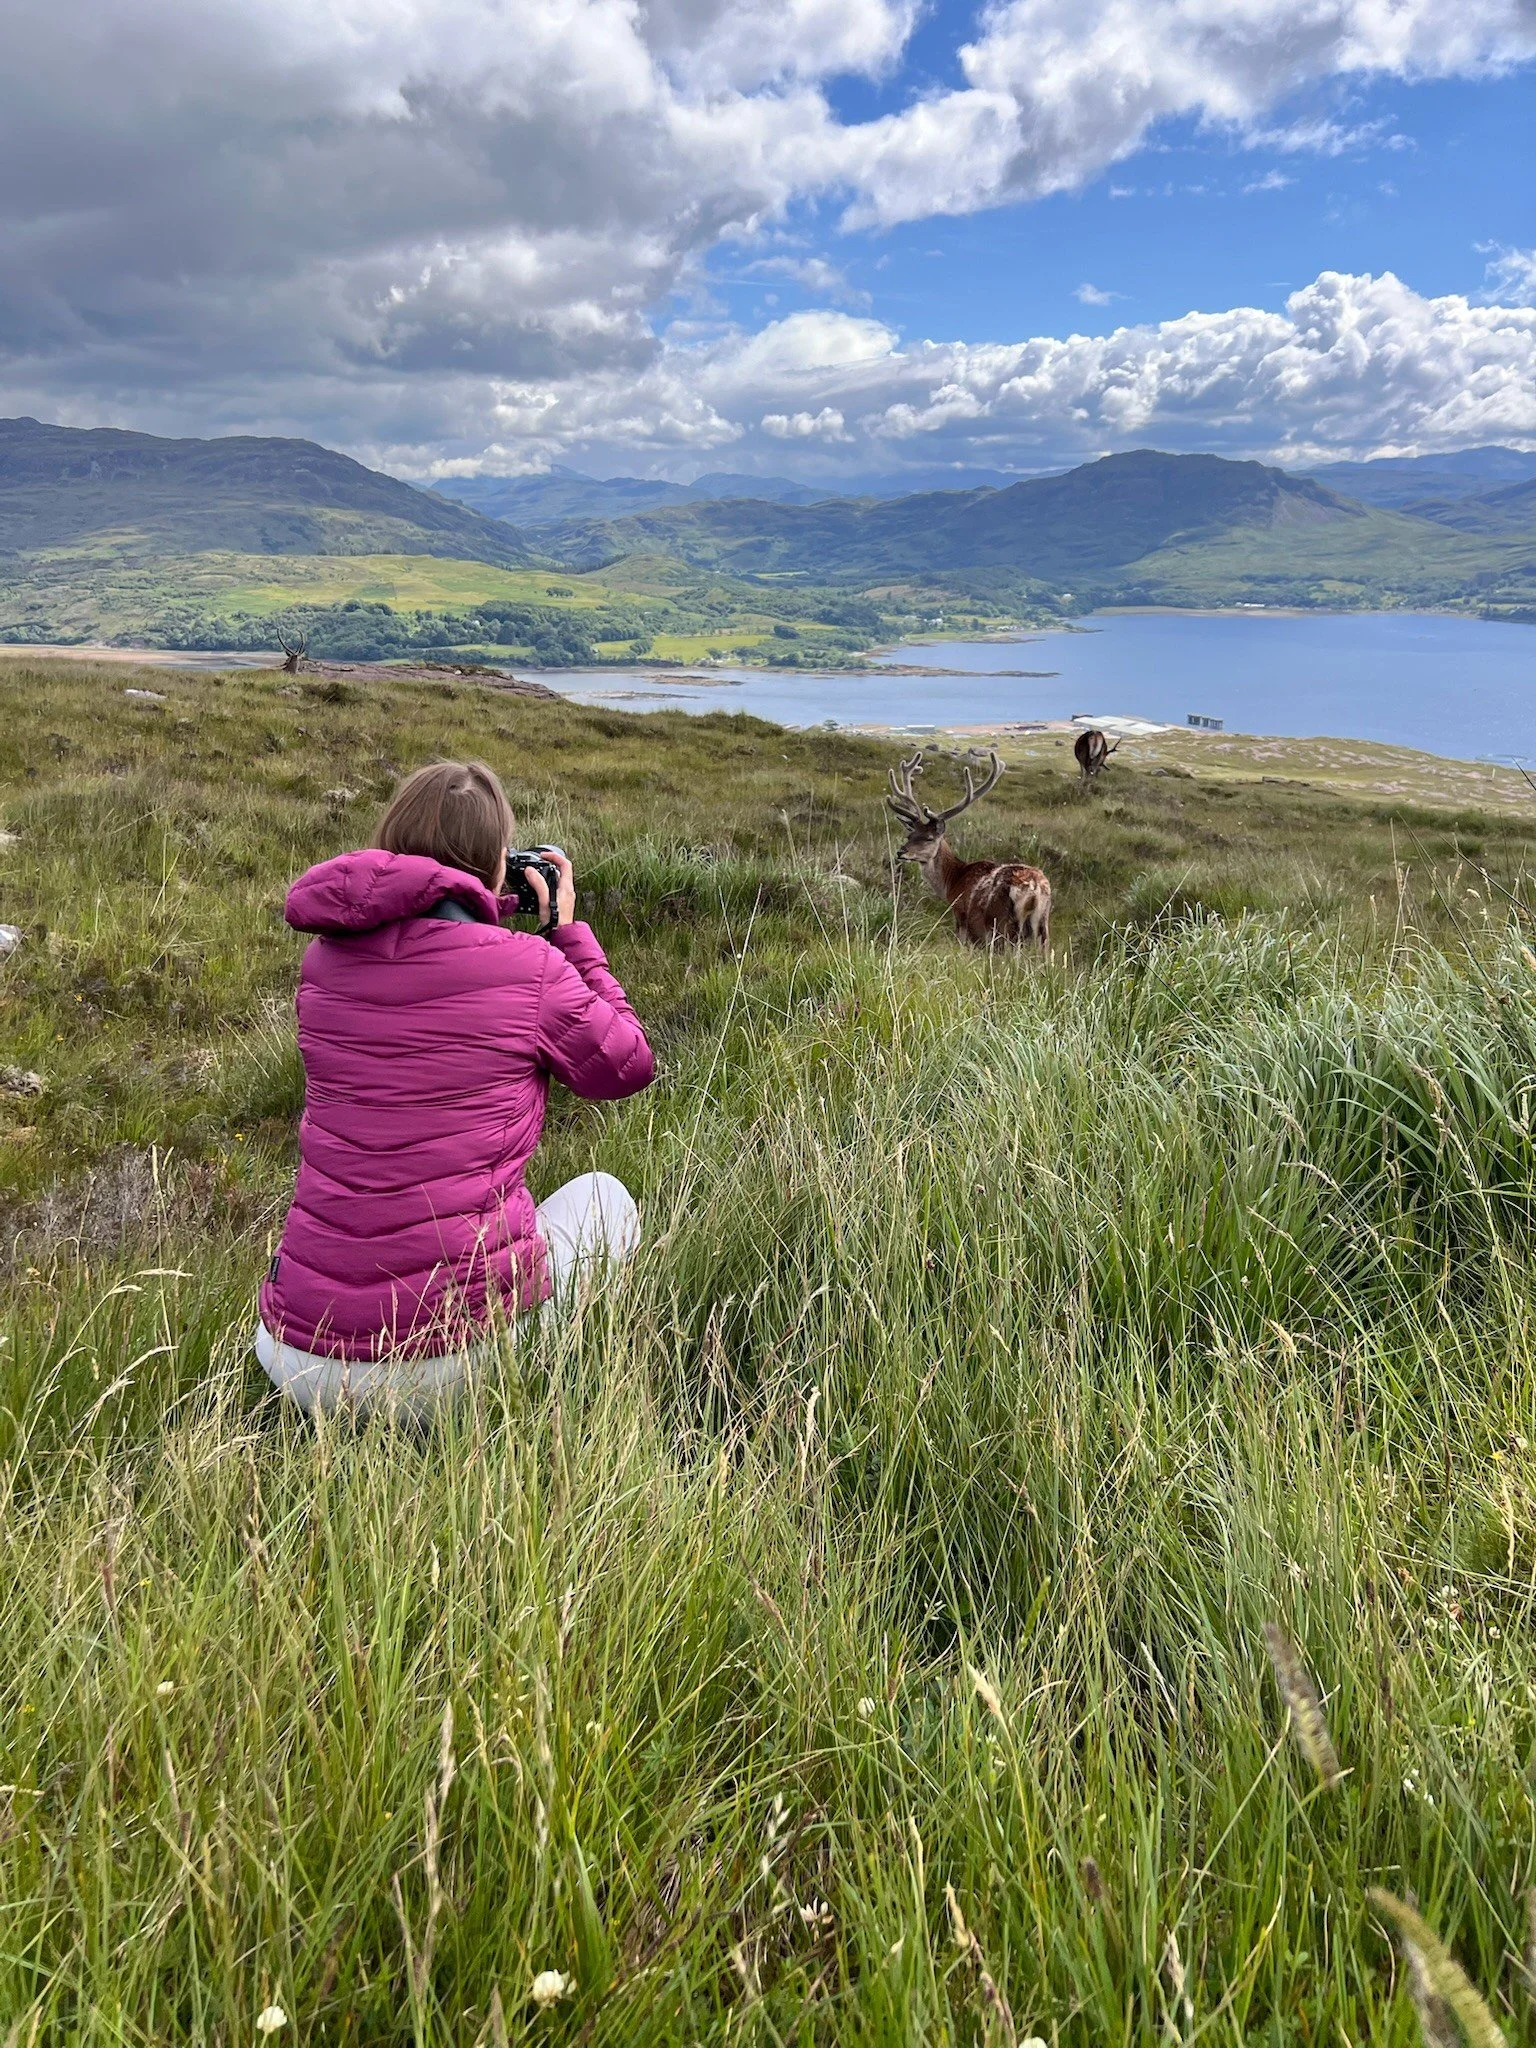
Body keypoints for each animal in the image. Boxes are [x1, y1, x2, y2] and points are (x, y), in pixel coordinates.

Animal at [886, 747, 1051, 951]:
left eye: (929, 838)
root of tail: (1035, 888)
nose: (901, 852)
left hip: (1002, 923)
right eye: (909, 836)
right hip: (1042, 924)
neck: (952, 880)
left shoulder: (961, 914)